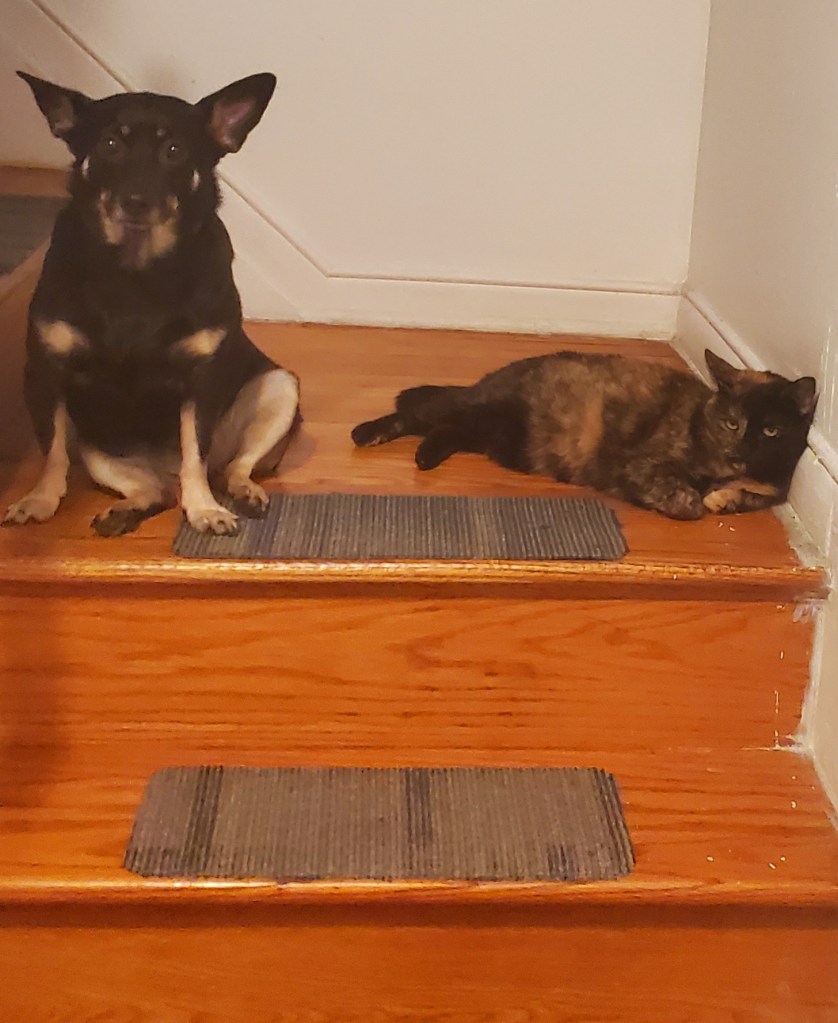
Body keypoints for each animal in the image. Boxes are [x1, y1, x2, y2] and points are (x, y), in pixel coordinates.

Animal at [3, 70, 300, 536]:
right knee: (155, 491)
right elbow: (51, 451)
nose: (136, 202)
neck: (136, 269)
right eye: (109, 144)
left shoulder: (202, 382)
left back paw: (240, 492)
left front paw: (204, 509)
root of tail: (163, 468)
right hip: (98, 448)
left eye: (174, 151)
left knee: (231, 466)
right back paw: (122, 512)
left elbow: (195, 452)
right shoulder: (44, 372)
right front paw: (39, 499)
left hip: (280, 388)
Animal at [351, 349, 816, 520]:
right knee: (416, 413)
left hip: (490, 433)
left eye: (771, 430)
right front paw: (692, 501)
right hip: (487, 412)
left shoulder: (773, 487)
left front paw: (724, 497)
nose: (741, 451)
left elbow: (750, 495)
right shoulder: (644, 462)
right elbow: (678, 492)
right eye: (732, 423)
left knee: (442, 428)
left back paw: (425, 455)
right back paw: (367, 433)